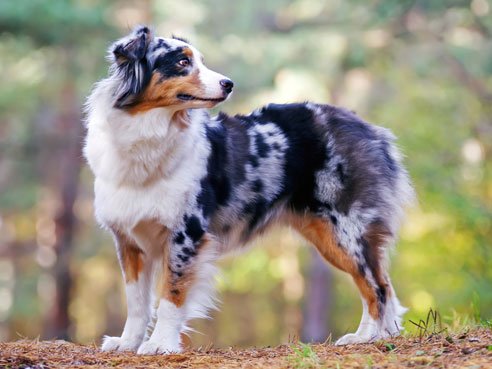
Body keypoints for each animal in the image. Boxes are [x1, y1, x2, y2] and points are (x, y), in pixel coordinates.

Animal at [84, 25, 416, 354]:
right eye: (182, 62)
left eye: (200, 61)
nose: (229, 84)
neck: (148, 134)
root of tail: (368, 128)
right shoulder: (129, 239)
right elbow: (137, 301)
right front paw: (128, 342)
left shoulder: (186, 234)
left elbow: (171, 294)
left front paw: (160, 344)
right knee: (383, 284)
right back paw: (383, 336)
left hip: (344, 230)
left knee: (377, 286)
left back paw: (365, 337)